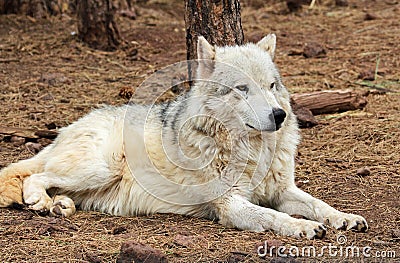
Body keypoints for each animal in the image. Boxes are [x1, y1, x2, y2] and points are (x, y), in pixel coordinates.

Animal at [0, 35, 368, 239]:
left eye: (271, 85)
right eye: (242, 89)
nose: (279, 115)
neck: (250, 151)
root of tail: (68, 127)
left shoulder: (282, 190)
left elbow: (319, 205)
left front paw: (345, 219)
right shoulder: (231, 204)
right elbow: (274, 217)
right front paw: (301, 227)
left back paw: (58, 205)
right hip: (99, 169)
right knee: (34, 177)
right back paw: (41, 203)